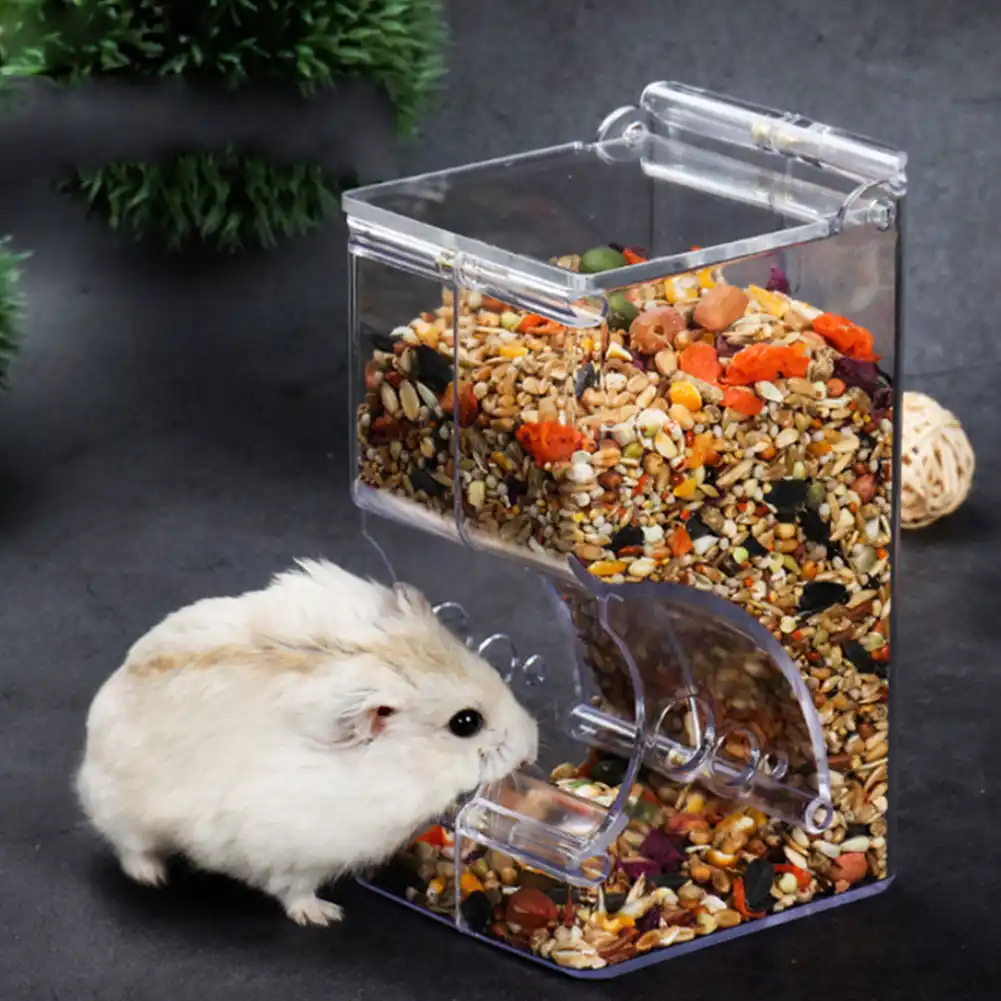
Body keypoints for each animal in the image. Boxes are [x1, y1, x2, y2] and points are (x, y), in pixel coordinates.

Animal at [76, 559, 538, 926]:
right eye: (466, 723)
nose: (532, 749)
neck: (400, 767)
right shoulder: (293, 850)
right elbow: (294, 890)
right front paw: (326, 916)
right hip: (123, 811)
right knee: (127, 844)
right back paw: (151, 877)